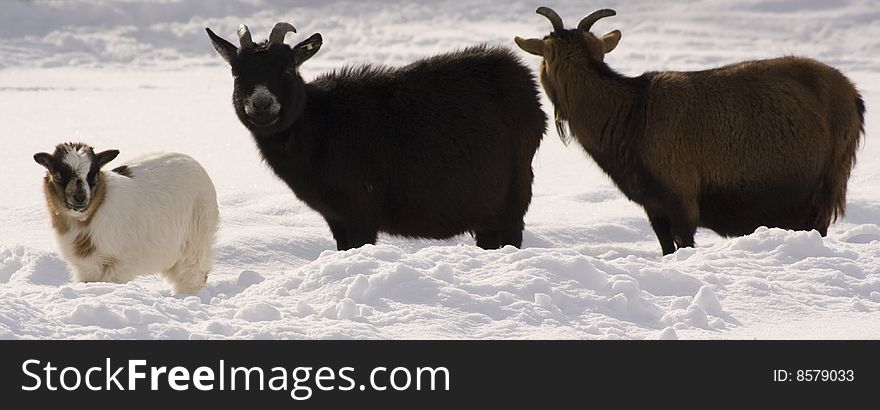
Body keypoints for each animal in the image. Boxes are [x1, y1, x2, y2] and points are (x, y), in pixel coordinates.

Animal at [34, 143, 220, 294]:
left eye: (94, 174)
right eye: (57, 175)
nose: (80, 197)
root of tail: (194, 162)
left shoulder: (119, 266)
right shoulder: (86, 269)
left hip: (196, 237)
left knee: (193, 274)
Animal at [209, 24, 548, 251]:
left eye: (287, 70)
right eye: (237, 73)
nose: (262, 104)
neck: (320, 126)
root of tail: (527, 85)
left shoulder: (361, 207)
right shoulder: (336, 218)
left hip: (516, 191)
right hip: (487, 209)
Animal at [516, 8, 868, 255]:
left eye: (544, 59)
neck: (631, 118)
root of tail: (854, 95)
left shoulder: (682, 194)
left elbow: (683, 242)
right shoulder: (653, 205)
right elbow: (665, 247)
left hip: (830, 179)